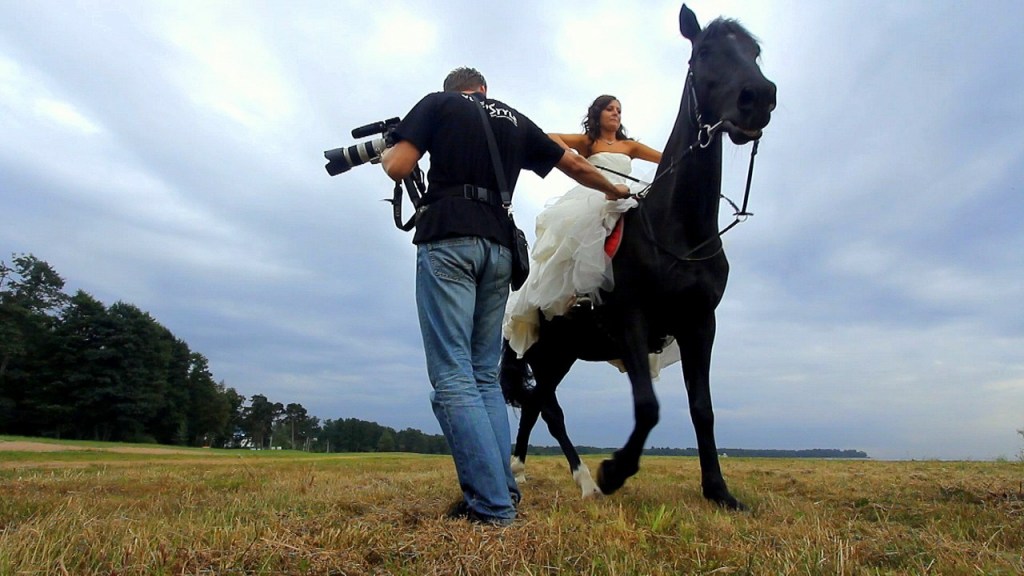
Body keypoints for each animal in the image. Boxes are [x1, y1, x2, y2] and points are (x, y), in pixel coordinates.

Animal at [500, 3, 776, 510]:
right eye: (704, 52)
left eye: (754, 52)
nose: (759, 97)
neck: (680, 234)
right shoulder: (632, 318)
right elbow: (647, 407)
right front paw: (614, 471)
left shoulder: (699, 325)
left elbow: (702, 409)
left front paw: (719, 491)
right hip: (549, 353)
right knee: (548, 409)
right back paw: (586, 481)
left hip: (563, 354)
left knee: (535, 404)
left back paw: (521, 469)